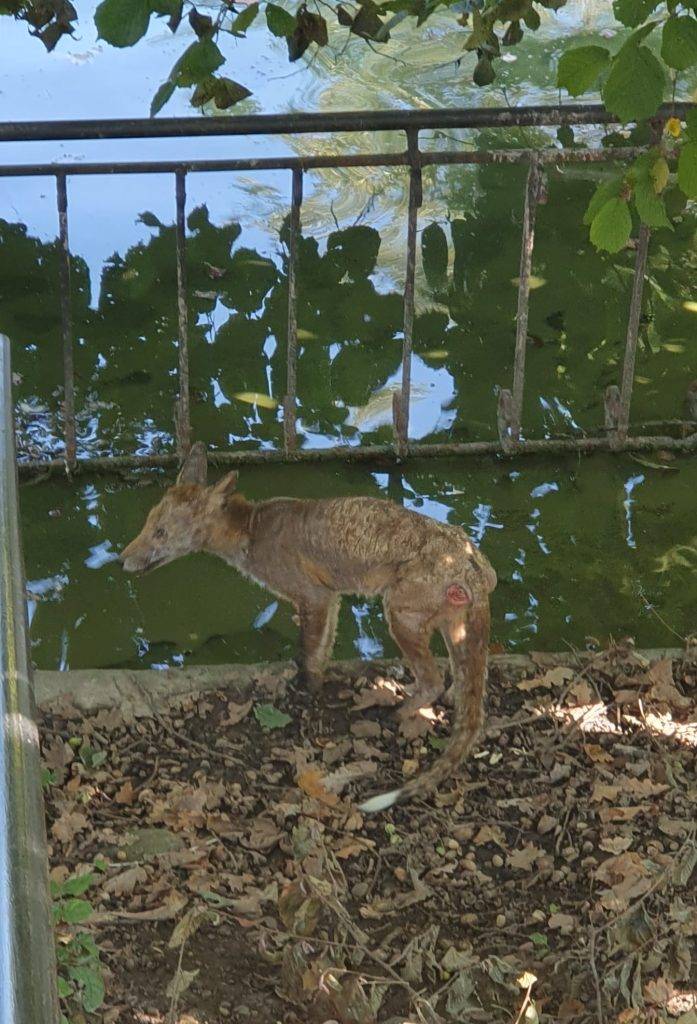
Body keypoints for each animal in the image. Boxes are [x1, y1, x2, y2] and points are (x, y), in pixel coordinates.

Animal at [122, 444, 497, 811]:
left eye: (161, 532)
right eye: (147, 523)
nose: (121, 559)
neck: (252, 532)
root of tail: (475, 567)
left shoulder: (313, 597)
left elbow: (309, 655)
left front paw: (307, 694)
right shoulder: (330, 598)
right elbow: (322, 649)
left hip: (400, 615)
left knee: (433, 680)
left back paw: (398, 714)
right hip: (450, 628)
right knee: (461, 683)